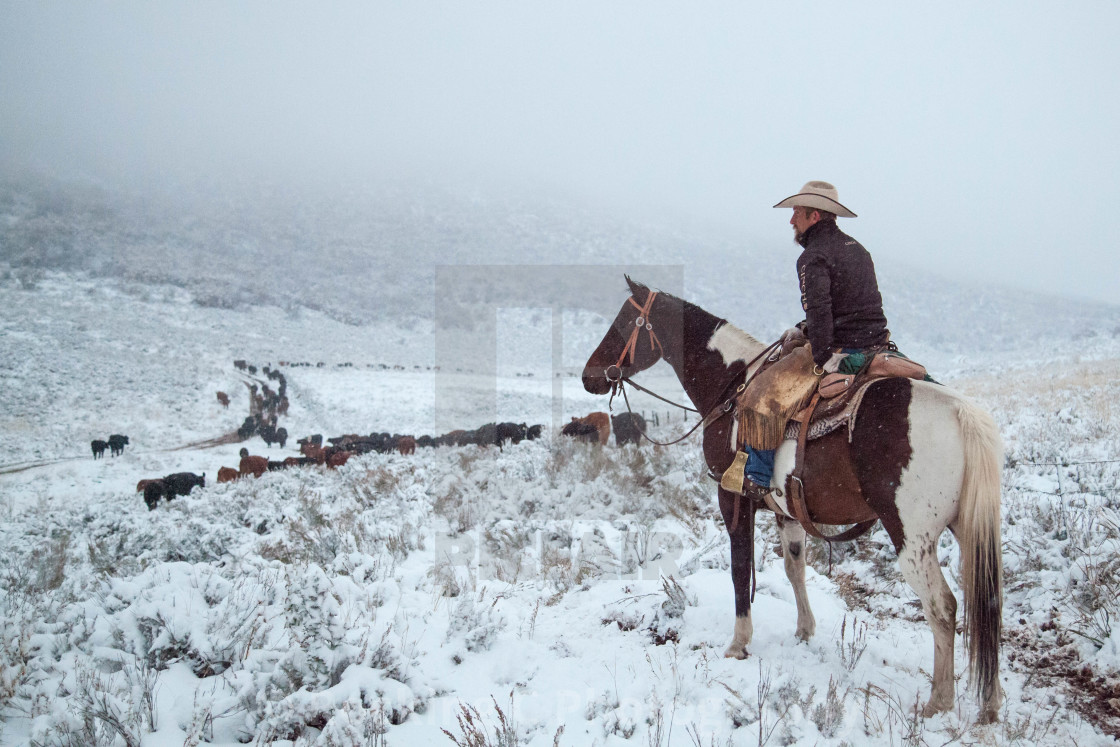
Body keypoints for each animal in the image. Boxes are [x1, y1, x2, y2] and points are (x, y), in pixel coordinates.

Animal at [582, 278, 1003, 725]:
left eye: (622, 323)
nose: (588, 377)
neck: (732, 386)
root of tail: (962, 413)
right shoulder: (788, 511)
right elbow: (795, 568)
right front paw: (804, 630)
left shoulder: (732, 499)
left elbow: (740, 570)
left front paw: (739, 644)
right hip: (968, 529)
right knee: (987, 601)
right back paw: (991, 702)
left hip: (912, 538)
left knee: (942, 606)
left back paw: (939, 700)